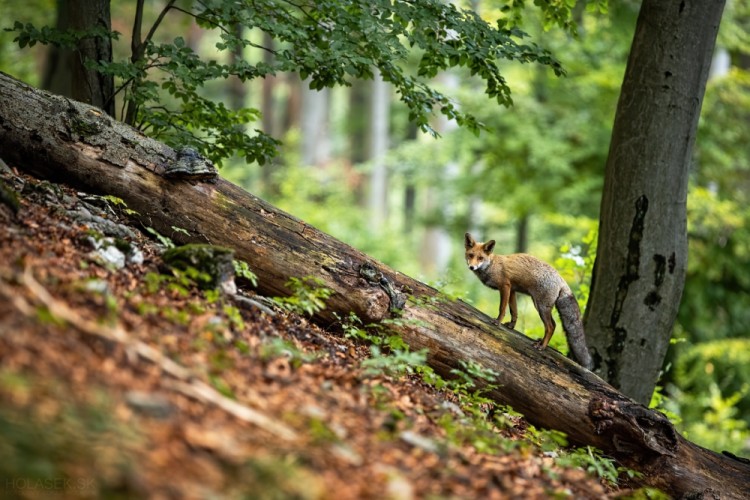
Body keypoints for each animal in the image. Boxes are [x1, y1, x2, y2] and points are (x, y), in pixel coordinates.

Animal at [464, 232, 592, 370]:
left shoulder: (505, 286)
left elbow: (502, 308)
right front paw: (511, 326)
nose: (472, 267)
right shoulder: (512, 290)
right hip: (540, 305)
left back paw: (542, 346)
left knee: (551, 326)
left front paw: (497, 322)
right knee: (552, 325)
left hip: (540, 306)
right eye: (470, 255)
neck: (491, 265)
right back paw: (541, 342)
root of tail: (561, 279)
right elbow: (514, 311)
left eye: (480, 258)